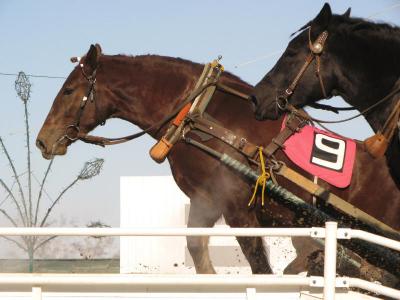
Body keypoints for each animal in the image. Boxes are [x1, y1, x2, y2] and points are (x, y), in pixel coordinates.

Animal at [36, 44, 400, 278]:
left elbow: (261, 268)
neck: (201, 115)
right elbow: (197, 248)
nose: (43, 140)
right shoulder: (206, 200)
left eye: (68, 90)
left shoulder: (238, 208)